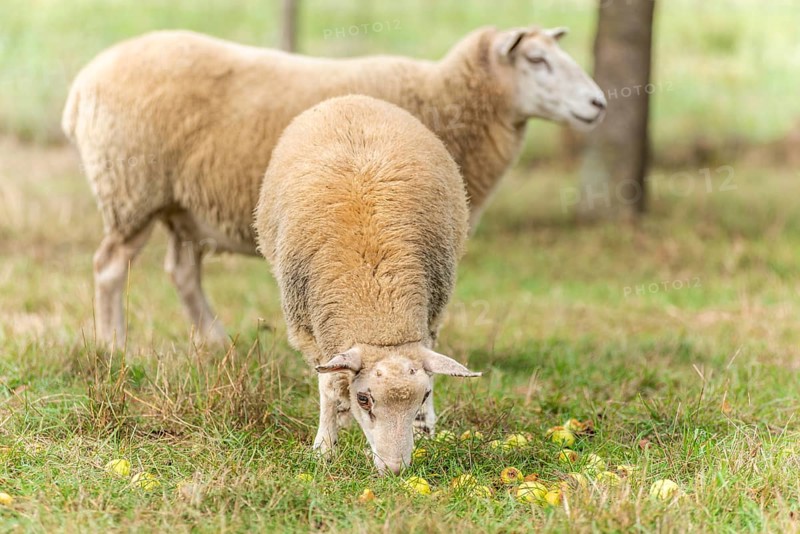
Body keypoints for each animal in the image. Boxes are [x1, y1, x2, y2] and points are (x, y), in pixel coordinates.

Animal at [62, 24, 606, 345]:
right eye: (536, 61)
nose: (599, 103)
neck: (446, 98)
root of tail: (84, 82)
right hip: (132, 189)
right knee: (110, 266)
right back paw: (114, 348)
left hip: (183, 204)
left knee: (182, 272)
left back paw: (216, 343)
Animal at [254, 94, 480, 474]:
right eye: (365, 399)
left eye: (423, 395)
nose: (395, 470)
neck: (378, 311)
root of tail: (353, 98)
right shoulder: (312, 331)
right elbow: (330, 387)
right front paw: (324, 448)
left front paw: (423, 426)